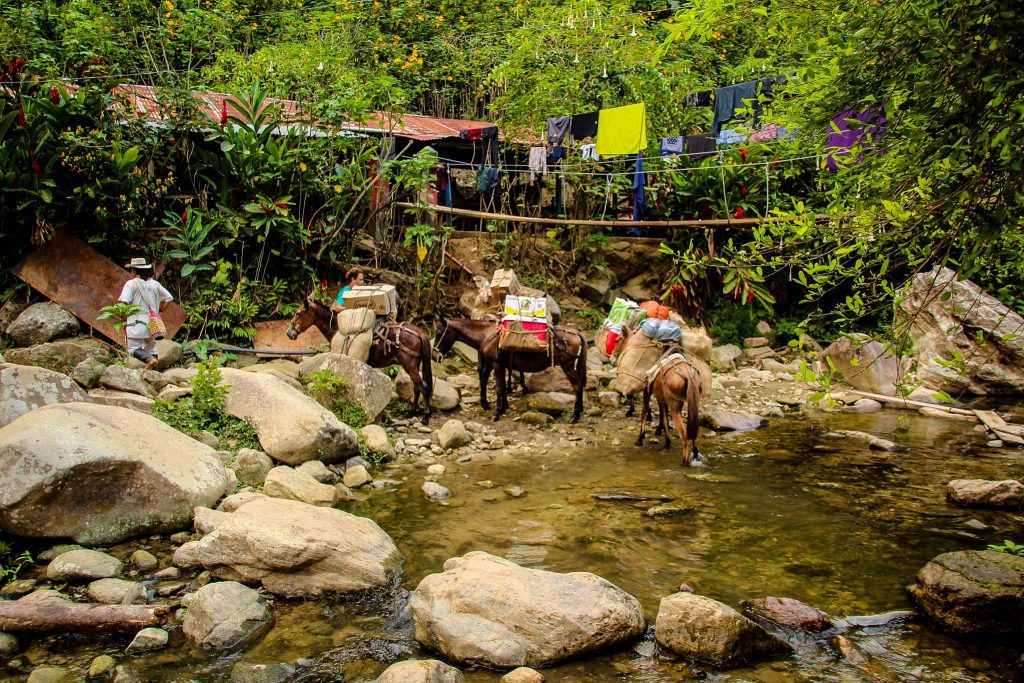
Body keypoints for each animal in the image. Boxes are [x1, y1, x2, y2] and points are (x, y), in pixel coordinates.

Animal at [286, 296, 434, 421]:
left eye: (298, 313)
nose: (289, 333)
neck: (337, 327)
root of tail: (419, 332)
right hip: (413, 365)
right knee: (417, 387)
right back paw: (412, 412)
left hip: (410, 365)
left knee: (423, 387)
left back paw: (426, 416)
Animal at [434, 317, 589, 421]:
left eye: (438, 332)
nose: (434, 356)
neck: (486, 335)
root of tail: (575, 332)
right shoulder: (497, 365)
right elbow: (500, 386)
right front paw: (501, 408)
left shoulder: (496, 364)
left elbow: (498, 388)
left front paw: (496, 413)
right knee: (580, 385)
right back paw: (579, 411)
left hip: (567, 365)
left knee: (577, 386)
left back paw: (575, 416)